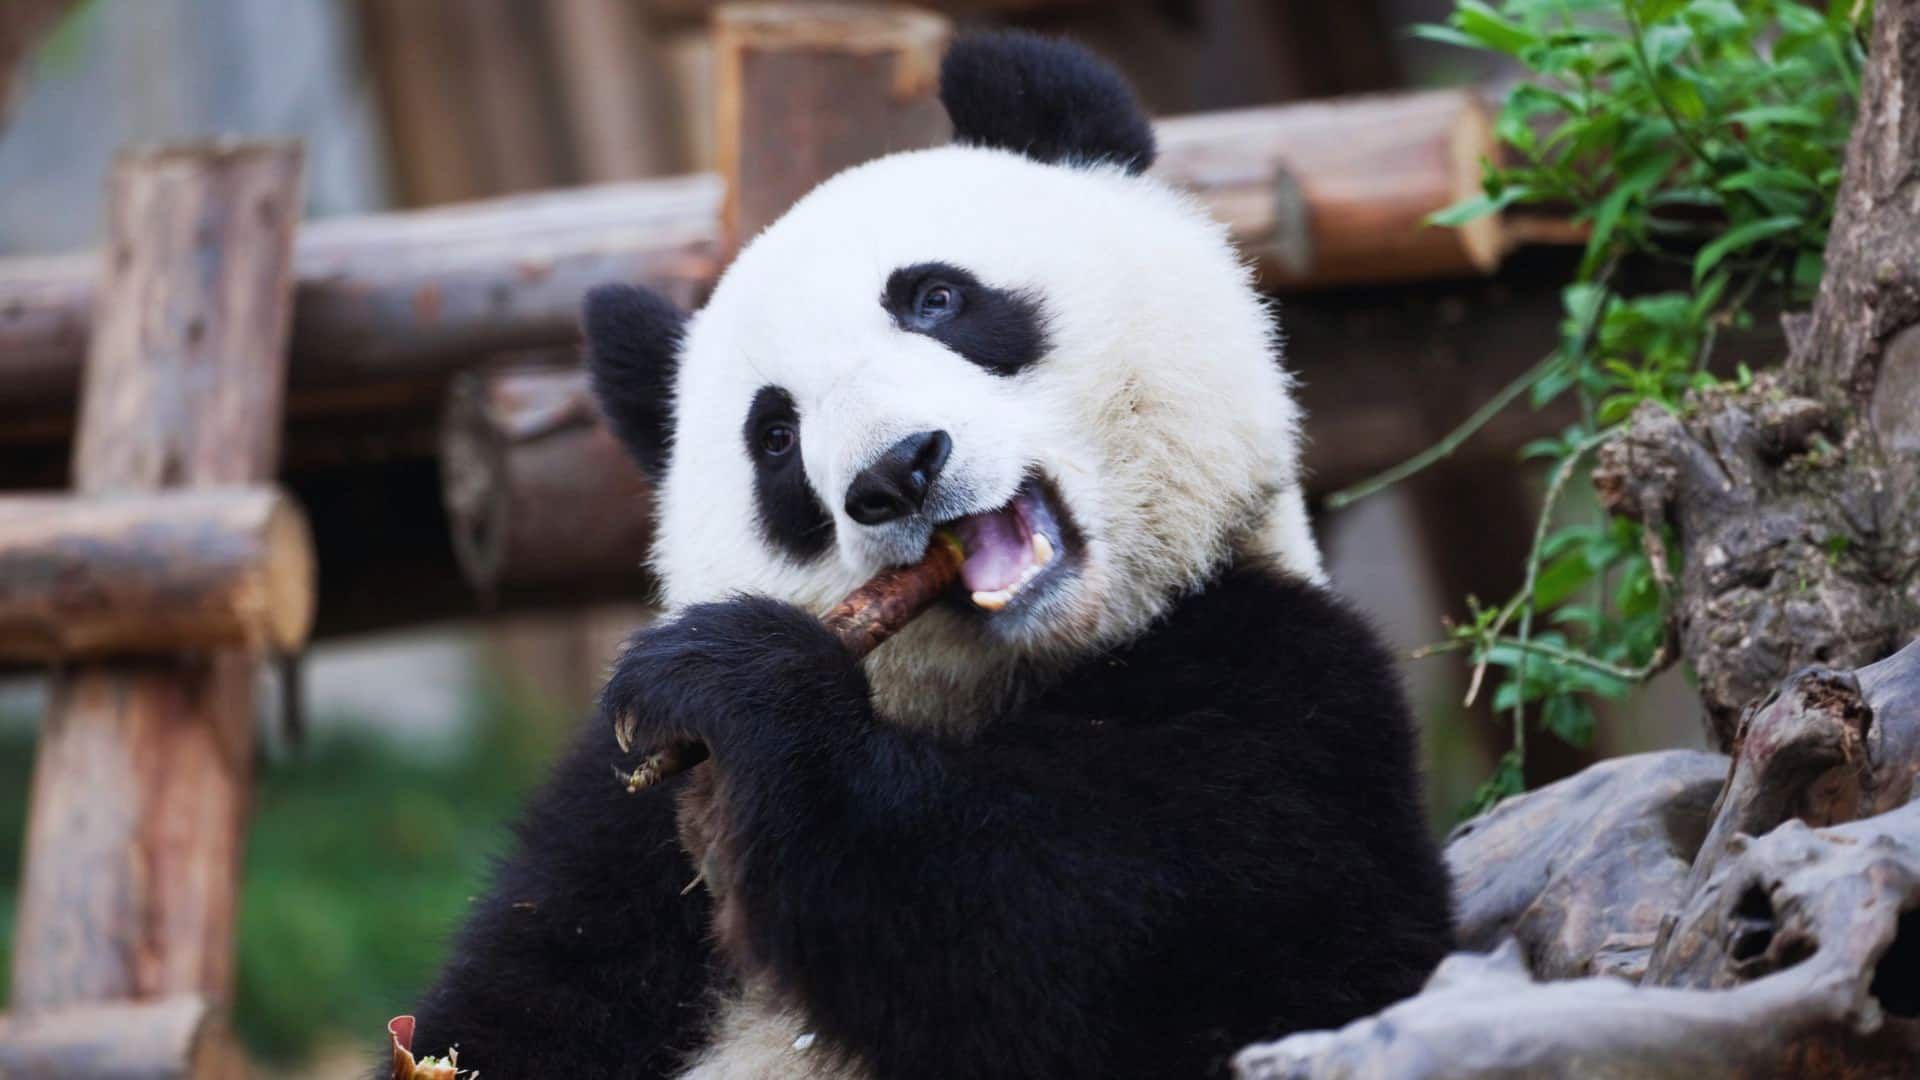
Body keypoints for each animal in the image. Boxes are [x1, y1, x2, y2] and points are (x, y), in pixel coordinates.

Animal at [405, 32, 1453, 1080]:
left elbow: (1113, 938)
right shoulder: (619, 821)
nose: (896, 472)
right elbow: (517, 1000)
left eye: (937, 298)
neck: (1005, 683)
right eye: (775, 436)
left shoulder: (1285, 685)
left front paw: (747, 686)